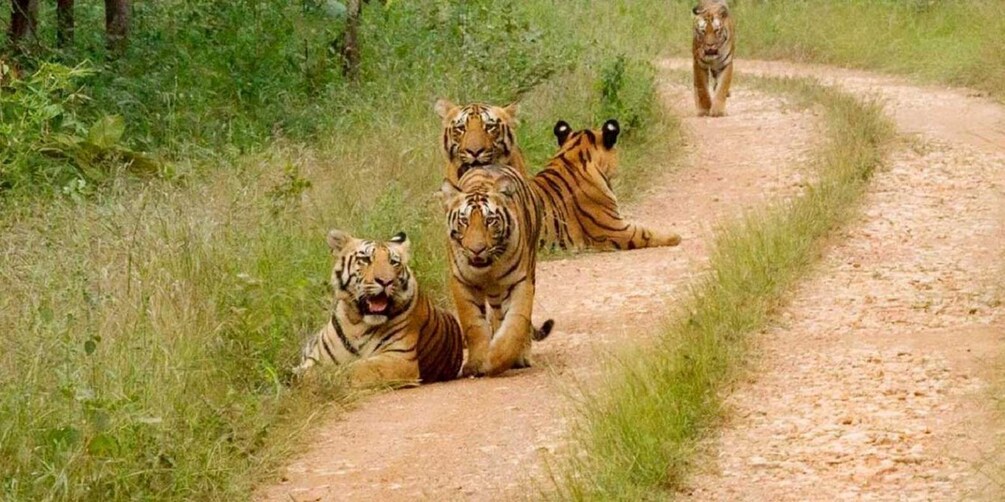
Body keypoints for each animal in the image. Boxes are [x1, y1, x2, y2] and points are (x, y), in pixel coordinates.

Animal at [294, 229, 464, 387]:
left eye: (393, 262)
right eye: (365, 259)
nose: (385, 281)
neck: (357, 323)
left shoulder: (400, 358)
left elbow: (357, 368)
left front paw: (327, 378)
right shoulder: (318, 356)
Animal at [440, 164, 548, 377]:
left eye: (490, 221)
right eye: (464, 221)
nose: (476, 249)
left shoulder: (520, 282)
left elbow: (516, 323)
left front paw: (496, 360)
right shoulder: (462, 283)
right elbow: (473, 324)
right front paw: (477, 363)